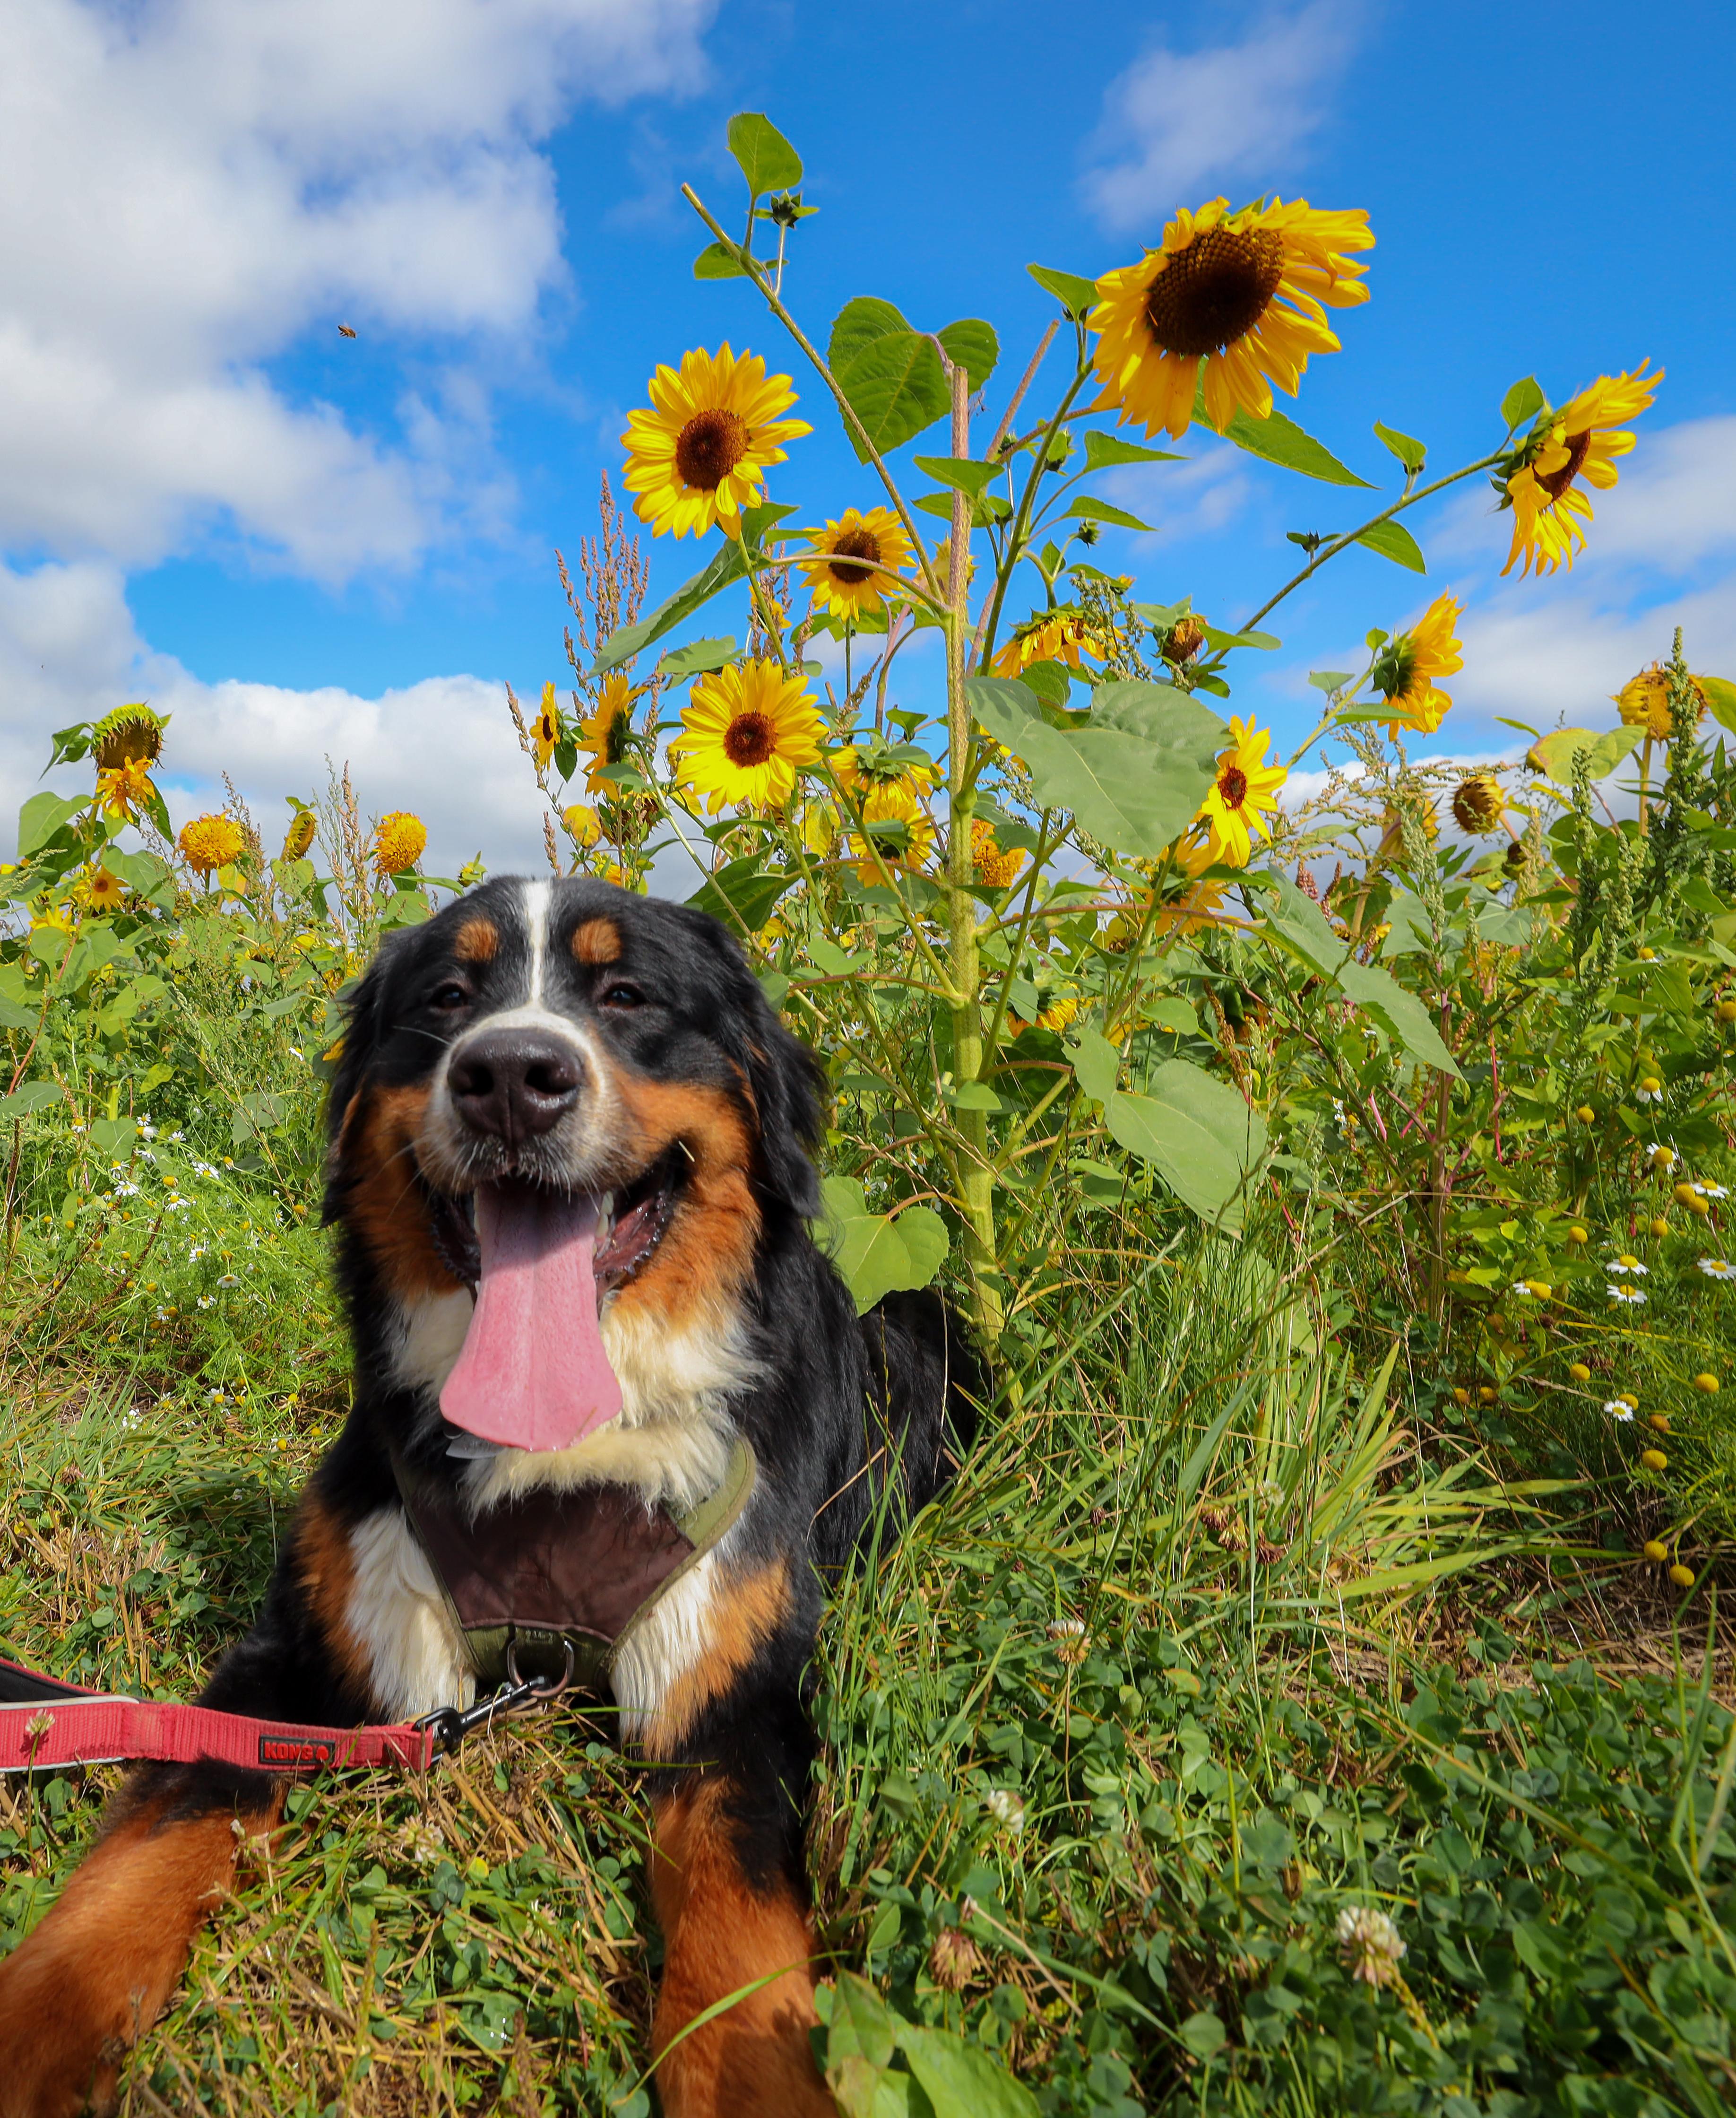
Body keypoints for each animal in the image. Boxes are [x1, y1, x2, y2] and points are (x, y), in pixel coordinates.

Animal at [0, 877, 978, 2118]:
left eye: (627, 994)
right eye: (447, 998)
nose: (511, 1073)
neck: (558, 1461)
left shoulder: (730, 1691)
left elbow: (740, 1944)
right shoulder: (307, 1647)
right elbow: (152, 1839)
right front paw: (38, 2021)